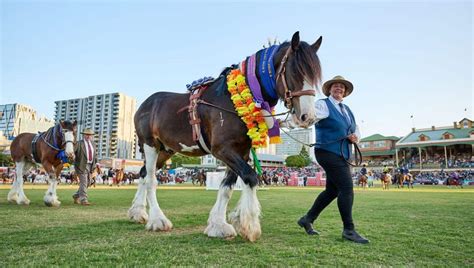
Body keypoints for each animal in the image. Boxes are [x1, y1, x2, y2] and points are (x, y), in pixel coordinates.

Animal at [128, 31, 324, 243]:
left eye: (315, 77)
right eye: (295, 72)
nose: (307, 117)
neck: (230, 101)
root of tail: (145, 104)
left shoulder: (240, 151)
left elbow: (227, 187)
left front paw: (218, 224)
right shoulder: (222, 149)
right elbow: (250, 177)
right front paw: (249, 225)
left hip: (165, 151)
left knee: (143, 175)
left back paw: (137, 213)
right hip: (150, 146)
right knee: (151, 180)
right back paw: (158, 220)